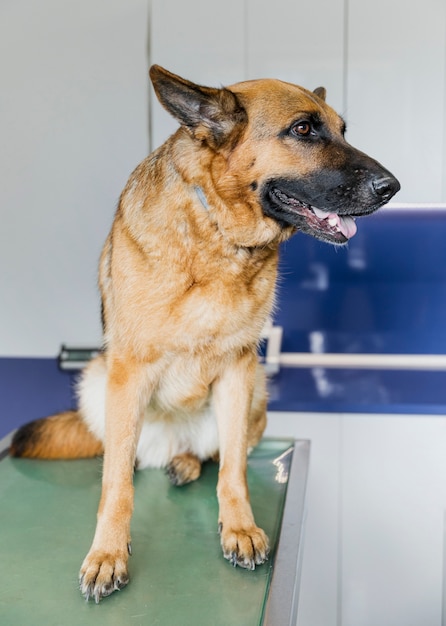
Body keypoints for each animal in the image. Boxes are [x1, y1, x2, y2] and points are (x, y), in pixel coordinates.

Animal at [10, 64, 400, 600]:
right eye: (304, 129)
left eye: (343, 131)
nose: (393, 186)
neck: (218, 233)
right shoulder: (128, 370)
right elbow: (116, 486)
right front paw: (107, 553)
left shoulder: (239, 369)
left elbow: (233, 469)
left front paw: (238, 528)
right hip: (96, 380)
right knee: (123, 458)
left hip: (256, 391)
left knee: (209, 453)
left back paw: (186, 462)